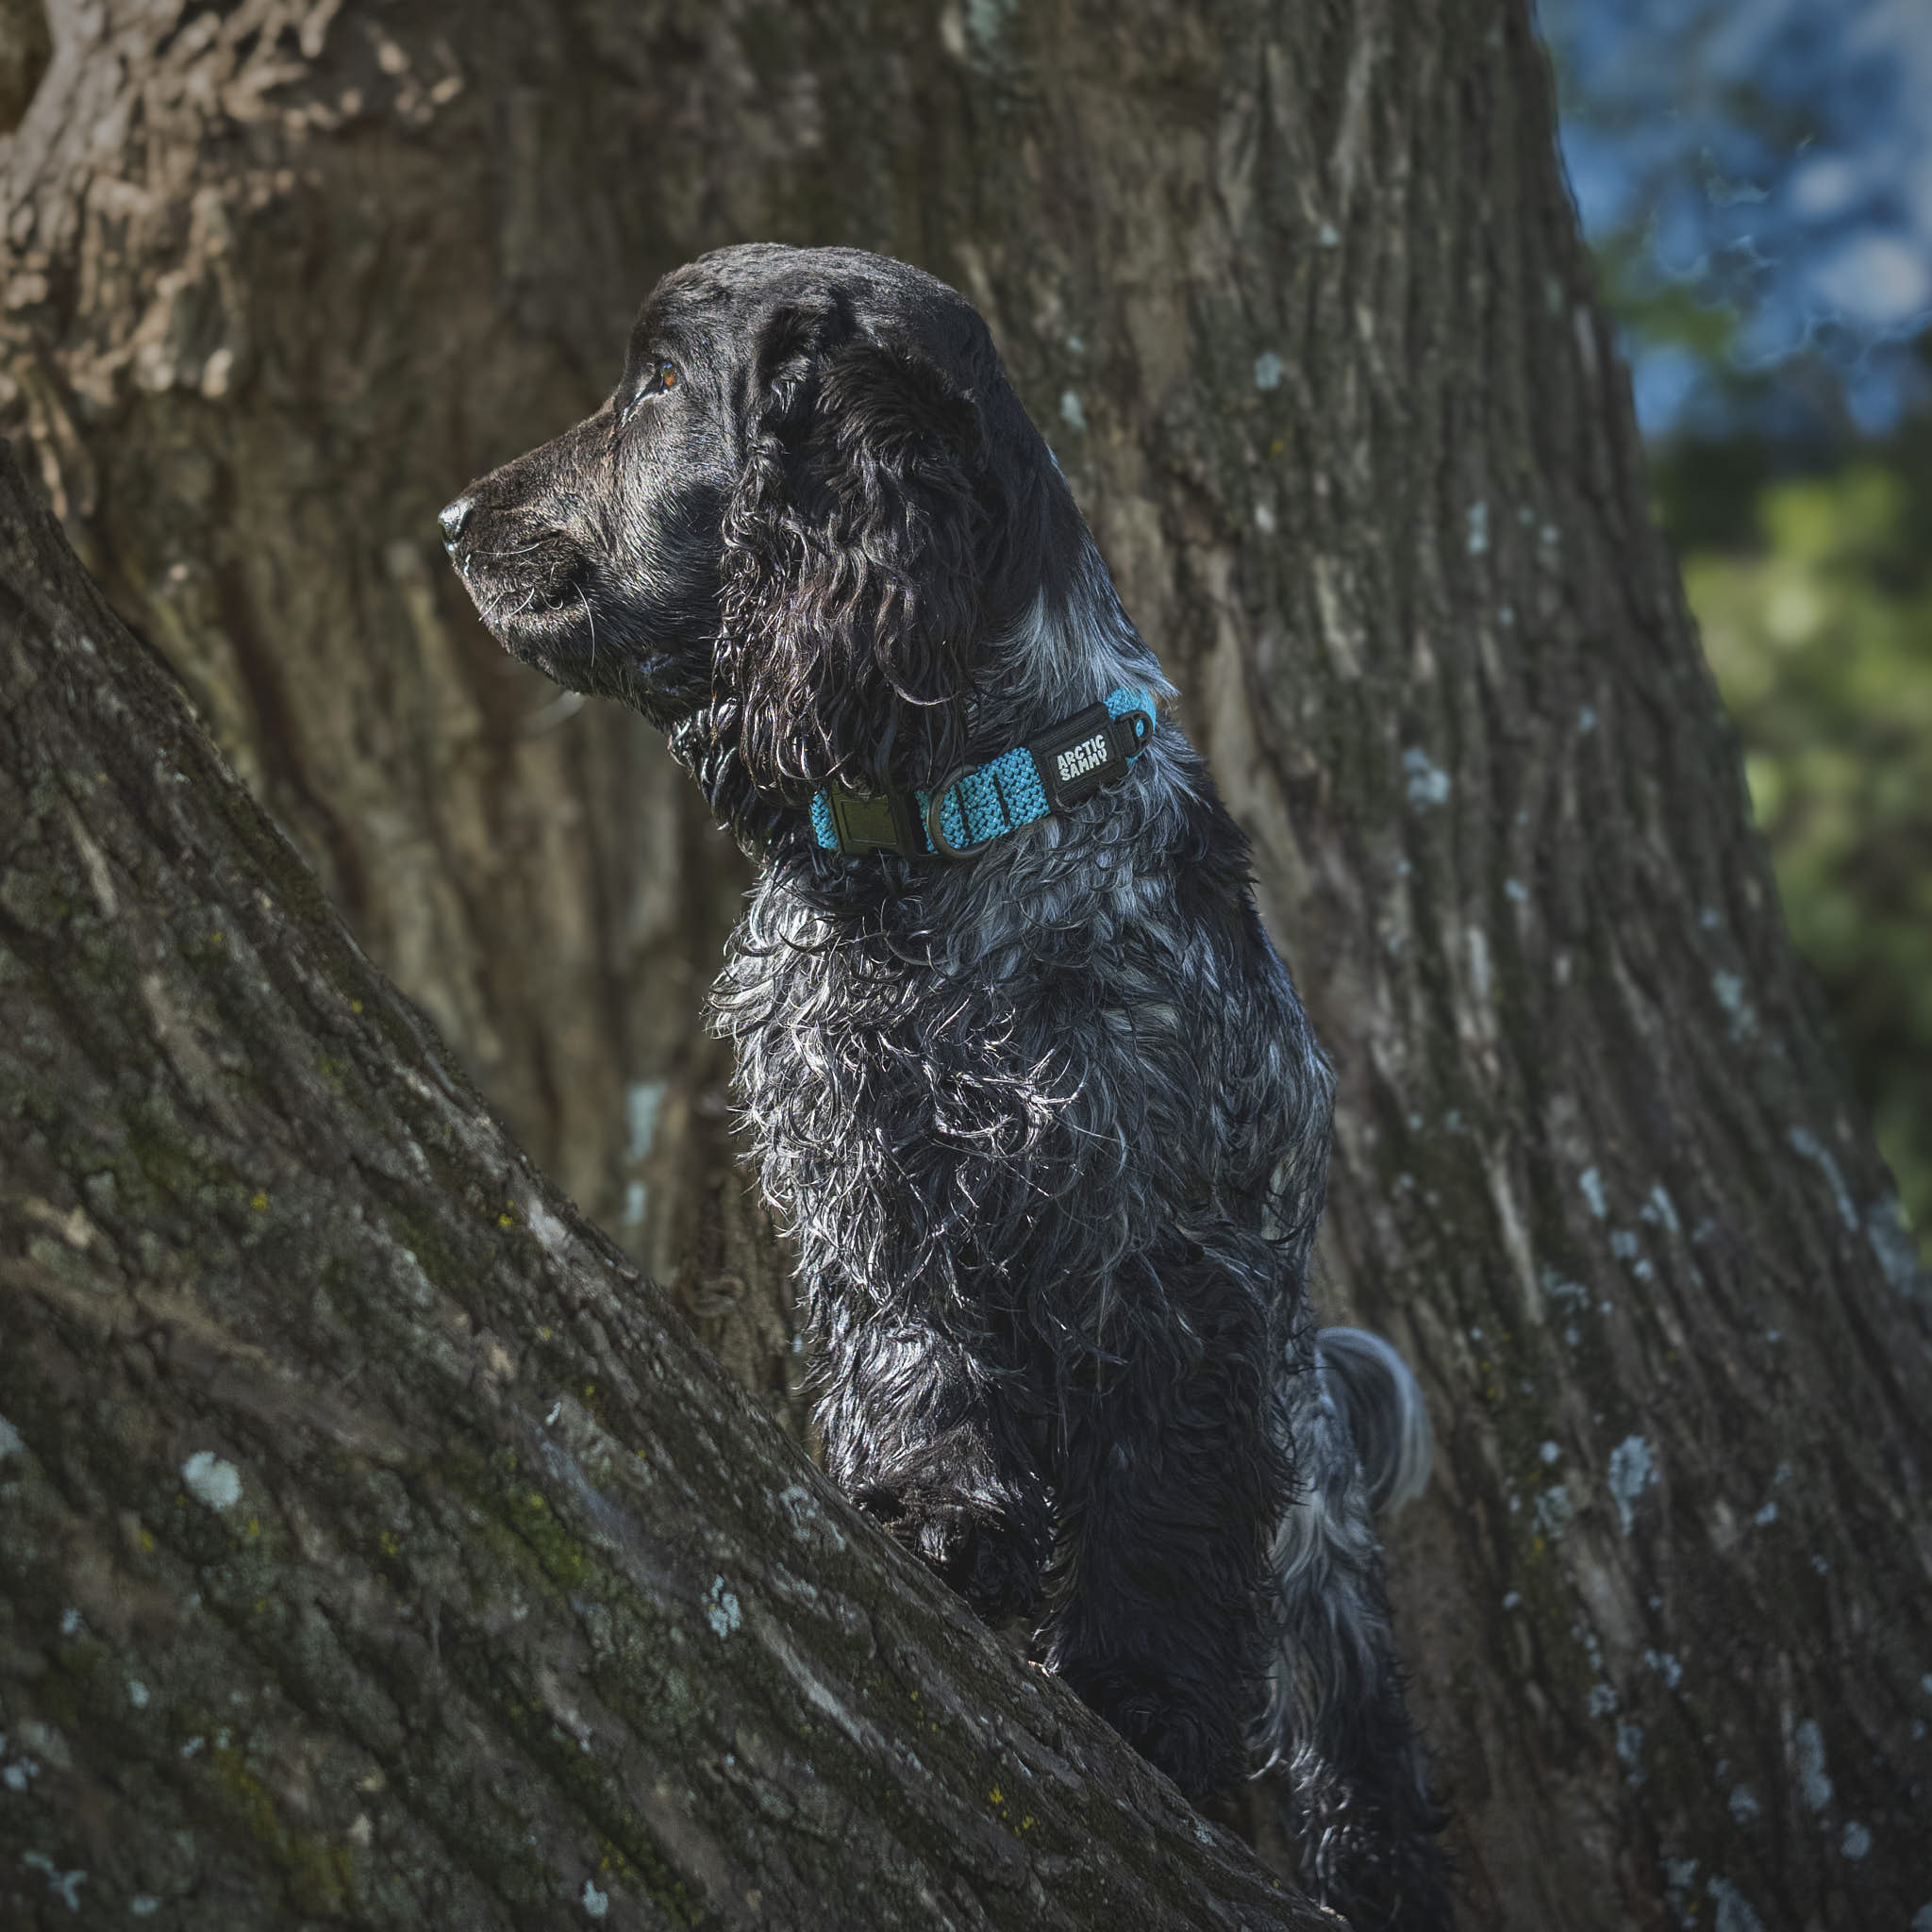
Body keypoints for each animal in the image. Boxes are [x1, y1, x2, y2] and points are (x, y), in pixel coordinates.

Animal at [441, 249, 1453, 1924]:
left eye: (662, 386)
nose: (454, 520)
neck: (957, 837)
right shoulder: (877, 1183)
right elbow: (921, 1372)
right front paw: (933, 1520)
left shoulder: (1171, 1249)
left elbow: (1161, 1514)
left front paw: (1137, 1700)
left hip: (1316, 1519)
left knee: (1351, 1741)